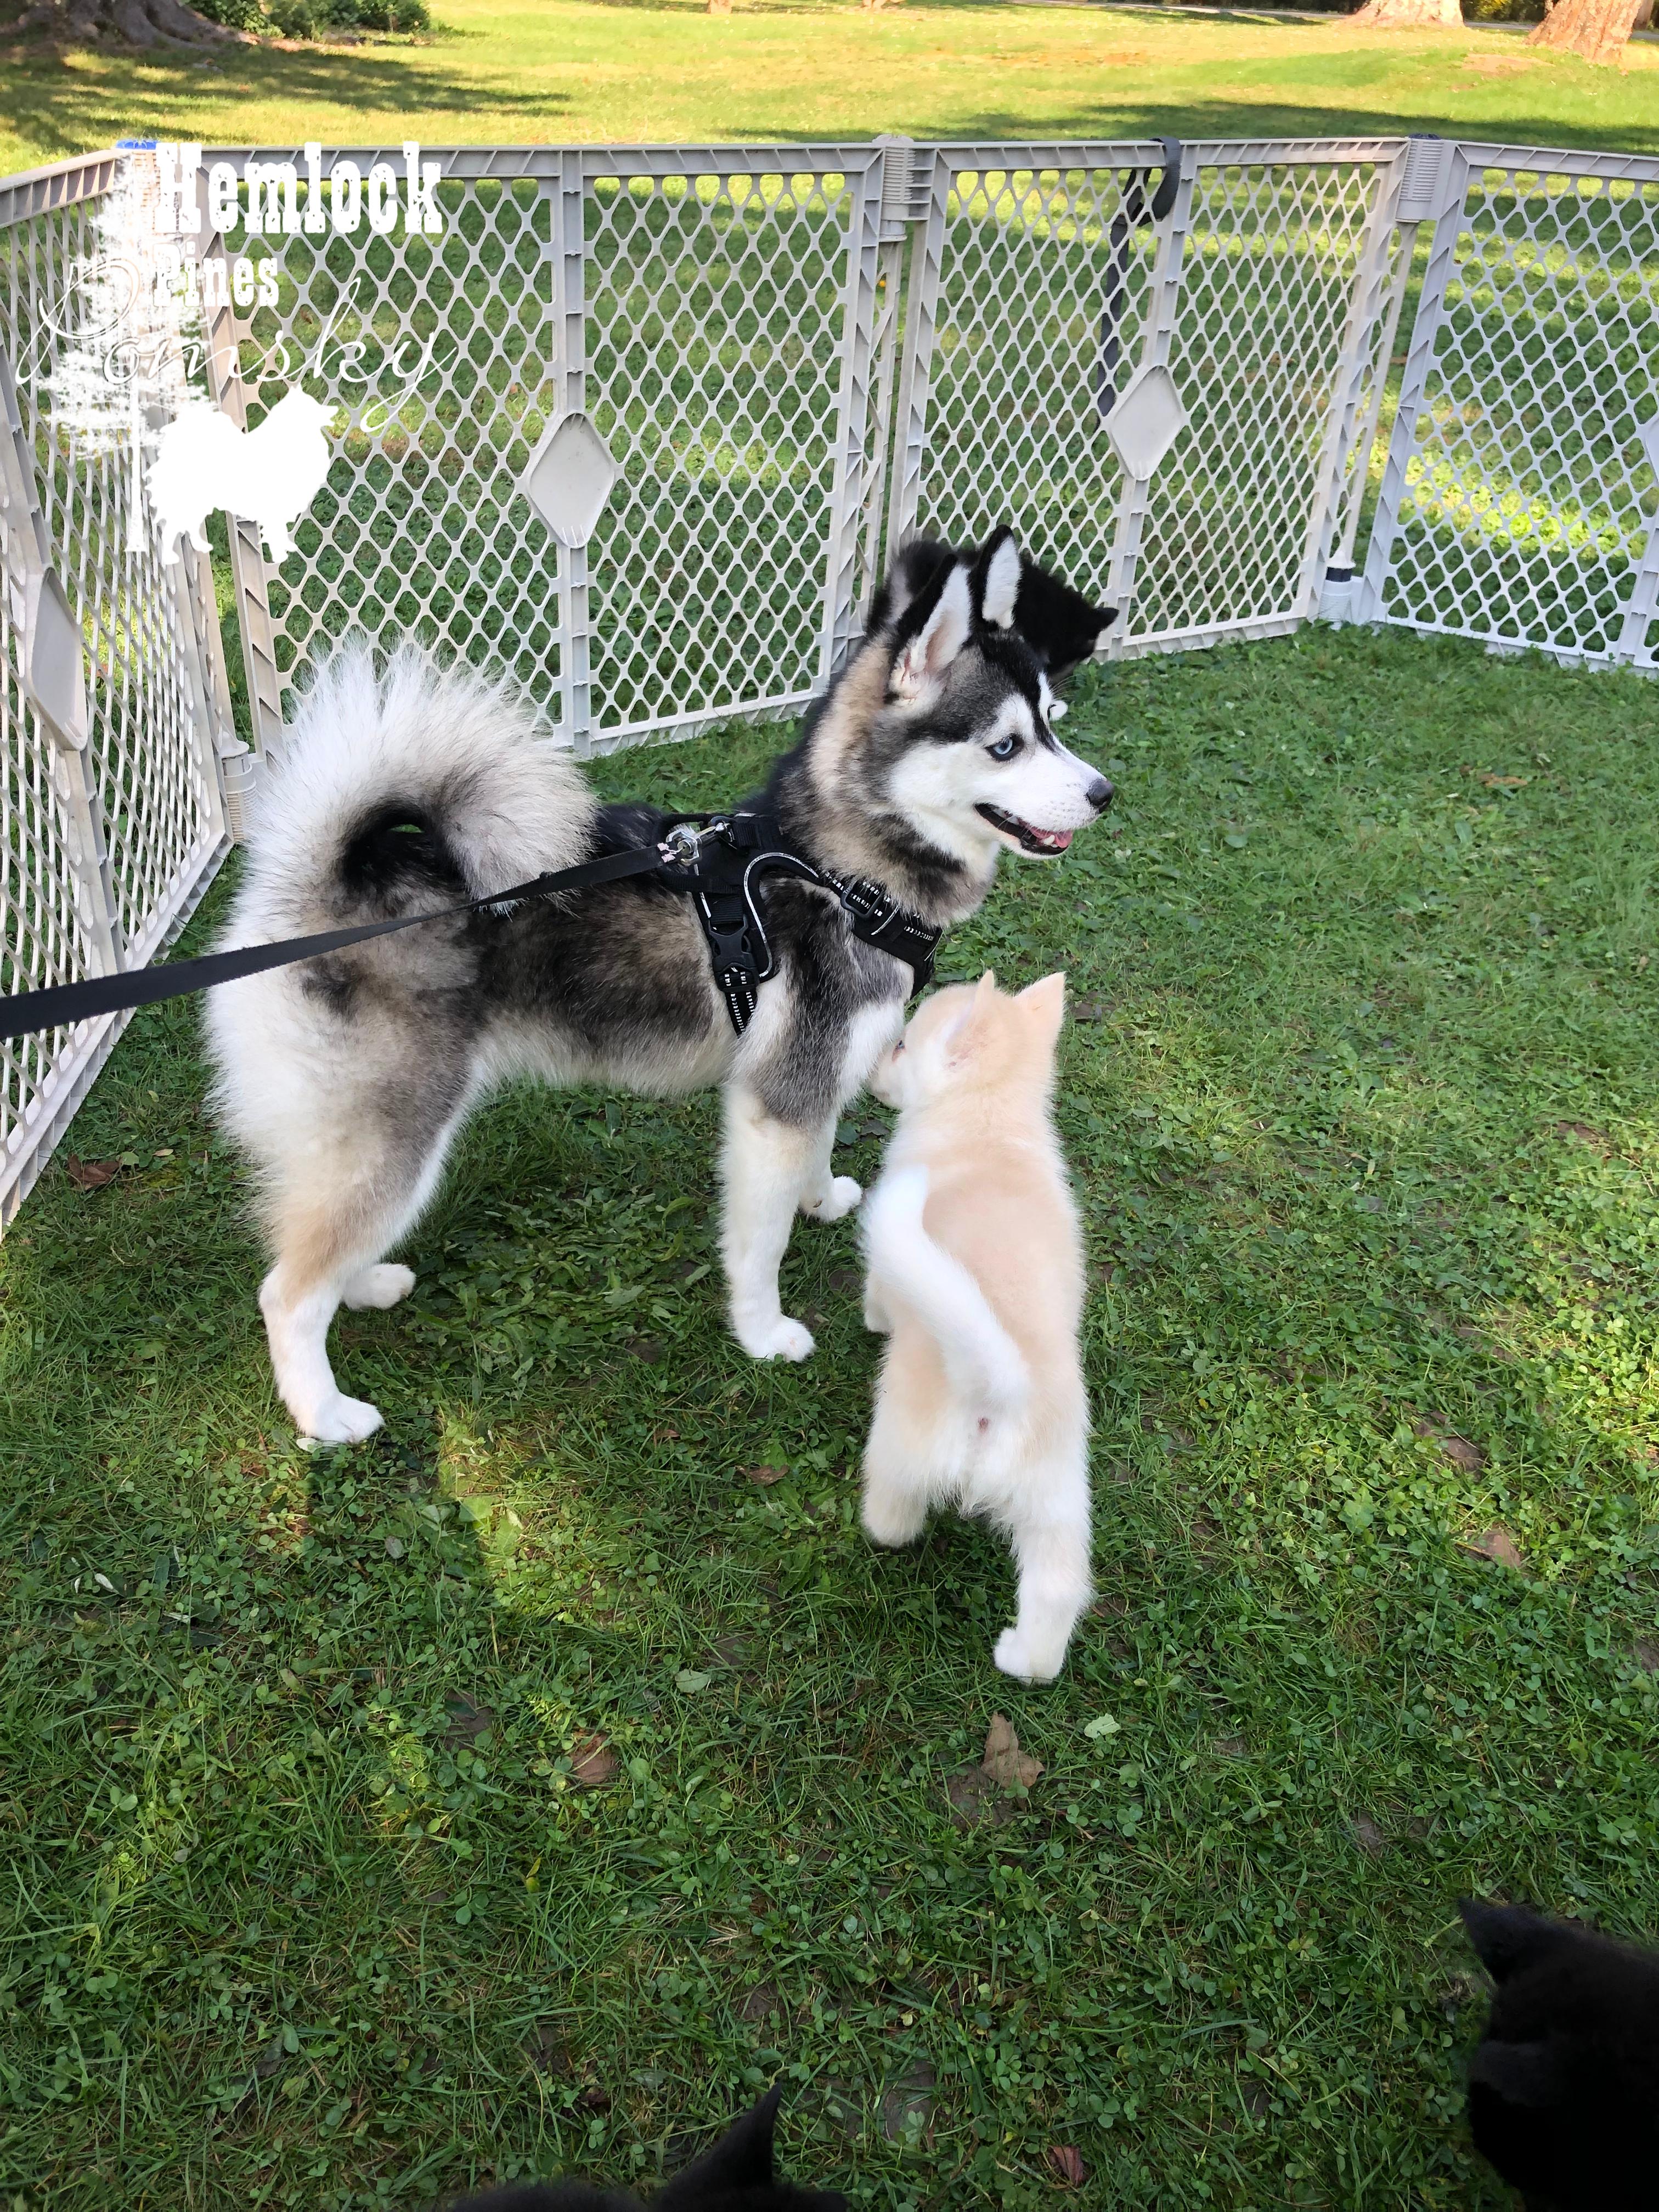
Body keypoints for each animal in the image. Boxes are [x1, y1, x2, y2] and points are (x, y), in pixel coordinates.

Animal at [205, 528, 1116, 1443]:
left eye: (1053, 718)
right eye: (1006, 745)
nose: (1103, 793)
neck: (839, 873)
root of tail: (316, 881)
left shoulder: (814, 1070)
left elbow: (820, 1148)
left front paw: (823, 1198)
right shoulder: (772, 1105)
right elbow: (760, 1243)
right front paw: (763, 1333)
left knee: (320, 1236)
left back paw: (364, 1281)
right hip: (396, 1125)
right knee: (286, 1290)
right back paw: (325, 1411)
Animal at [860, 970, 1090, 1681]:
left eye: (902, 1045)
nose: (869, 1068)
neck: (990, 1123)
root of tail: (1000, 1386)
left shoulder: (887, 1255)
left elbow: (876, 1293)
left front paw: (873, 1321)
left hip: (900, 1446)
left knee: (894, 1521)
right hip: (1057, 1498)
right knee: (1057, 1590)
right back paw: (1025, 1659)